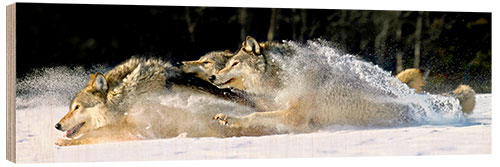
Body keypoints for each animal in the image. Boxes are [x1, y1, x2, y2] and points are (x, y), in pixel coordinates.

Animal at [55, 57, 256, 145]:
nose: (57, 125)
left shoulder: (138, 126)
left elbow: (93, 134)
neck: (128, 96)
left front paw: (64, 143)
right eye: (71, 107)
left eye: (77, 107)